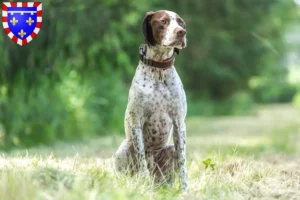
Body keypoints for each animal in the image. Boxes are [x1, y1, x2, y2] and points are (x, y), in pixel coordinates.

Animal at [113, 10, 189, 191]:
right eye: (163, 21)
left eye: (181, 23)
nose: (182, 32)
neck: (159, 70)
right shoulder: (136, 123)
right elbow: (142, 161)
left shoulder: (179, 123)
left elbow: (183, 163)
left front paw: (185, 190)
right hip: (124, 148)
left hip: (170, 151)